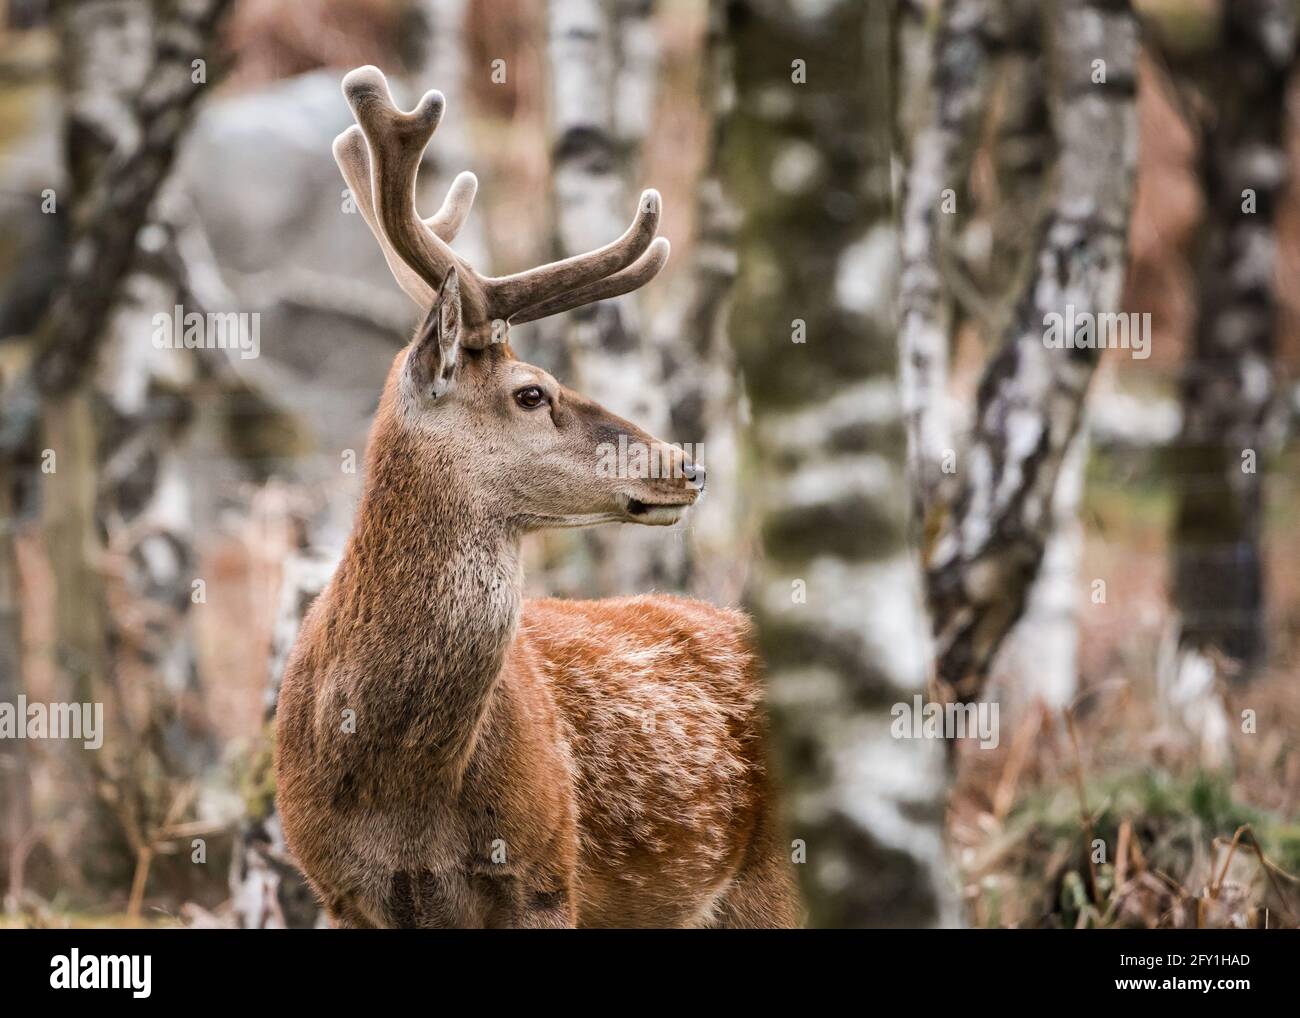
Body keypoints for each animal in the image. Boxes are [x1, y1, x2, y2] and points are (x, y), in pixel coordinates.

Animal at [274, 66, 801, 929]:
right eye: (531, 393)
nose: (685, 467)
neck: (400, 786)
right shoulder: (338, 890)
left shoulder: (547, 869)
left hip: (774, 876)